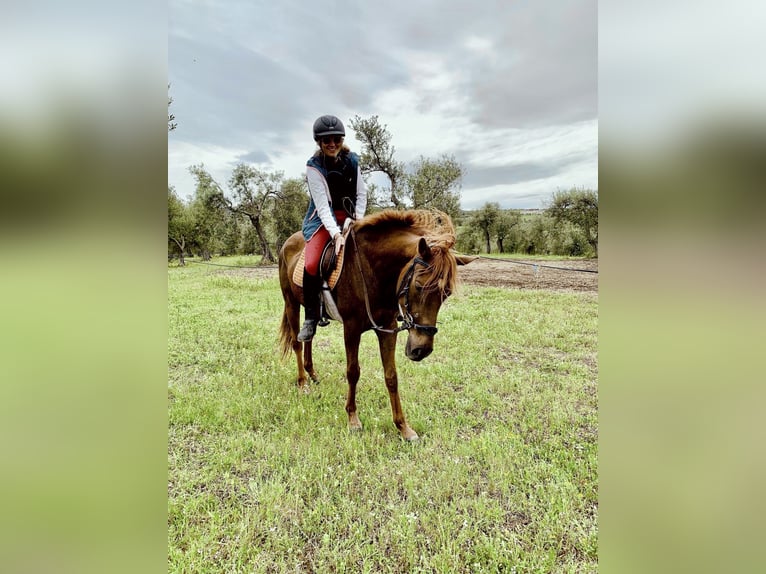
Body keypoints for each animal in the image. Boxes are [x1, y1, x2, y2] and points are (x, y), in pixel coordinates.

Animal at [278, 209, 474, 441]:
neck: (371, 270)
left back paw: (312, 374)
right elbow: (353, 372)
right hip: (291, 302)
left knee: (309, 336)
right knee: (297, 343)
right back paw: (302, 383)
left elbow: (391, 376)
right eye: (418, 285)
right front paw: (353, 418)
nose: (421, 350)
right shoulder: (351, 328)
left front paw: (403, 427)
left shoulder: (387, 328)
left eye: (447, 293)